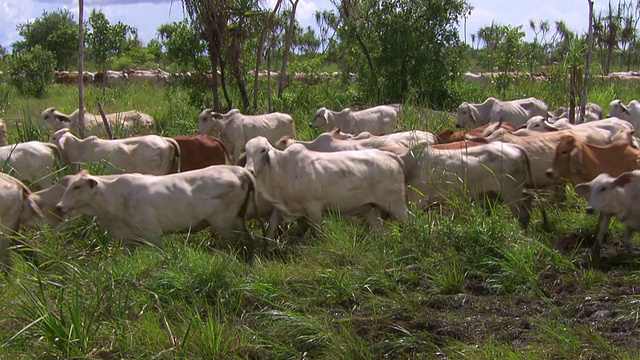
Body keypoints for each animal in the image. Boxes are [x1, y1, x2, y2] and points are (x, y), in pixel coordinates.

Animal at [55, 167, 255, 258]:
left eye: (77, 186)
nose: (58, 206)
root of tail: (238, 169)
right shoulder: (130, 238)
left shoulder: (153, 234)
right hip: (237, 221)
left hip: (224, 225)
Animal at [242, 135, 408, 239]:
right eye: (247, 150)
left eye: (263, 150)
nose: (249, 170)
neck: (283, 168)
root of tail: (390, 156)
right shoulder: (281, 206)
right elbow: (271, 227)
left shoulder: (314, 207)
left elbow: (317, 232)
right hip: (370, 208)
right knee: (378, 229)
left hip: (395, 204)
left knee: (409, 220)